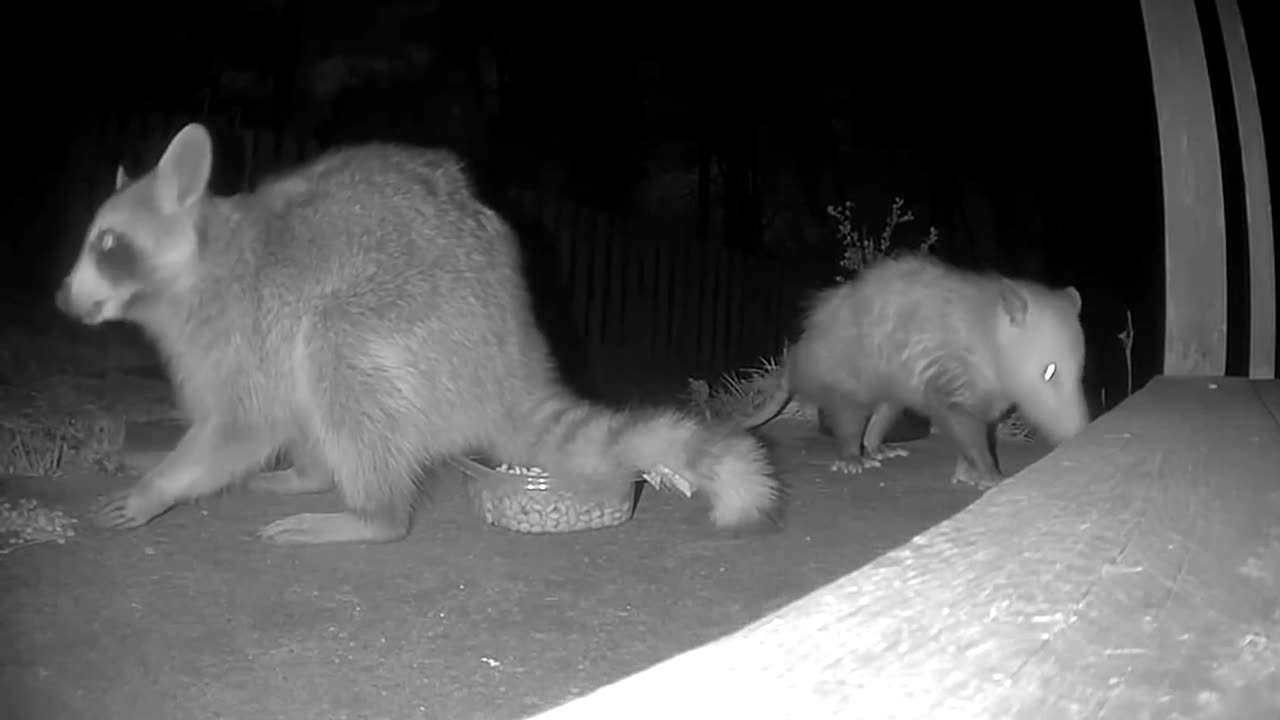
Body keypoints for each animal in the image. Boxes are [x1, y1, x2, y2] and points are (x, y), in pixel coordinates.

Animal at [56, 123, 781, 545]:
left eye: (108, 244)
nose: (61, 298)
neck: (196, 265)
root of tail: (513, 358)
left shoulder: (240, 324)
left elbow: (240, 429)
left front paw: (161, 485)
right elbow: (267, 420)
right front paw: (154, 461)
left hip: (417, 326)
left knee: (335, 351)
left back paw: (373, 516)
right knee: (316, 392)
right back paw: (314, 474)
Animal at [742, 253, 1089, 489]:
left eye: (1080, 370)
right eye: (1049, 371)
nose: (1078, 435)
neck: (988, 335)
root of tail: (801, 353)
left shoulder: (987, 400)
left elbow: (979, 431)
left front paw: (967, 472)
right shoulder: (948, 381)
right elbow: (962, 426)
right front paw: (989, 474)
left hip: (894, 389)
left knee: (884, 413)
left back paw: (878, 448)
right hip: (848, 379)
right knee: (849, 419)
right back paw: (852, 458)